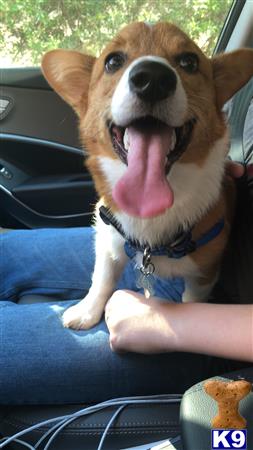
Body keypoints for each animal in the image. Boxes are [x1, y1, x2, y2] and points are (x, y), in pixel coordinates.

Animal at [41, 21, 253, 328]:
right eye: (113, 61)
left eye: (189, 62)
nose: (152, 78)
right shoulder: (108, 238)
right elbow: (102, 279)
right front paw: (86, 311)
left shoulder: (203, 275)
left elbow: (192, 302)